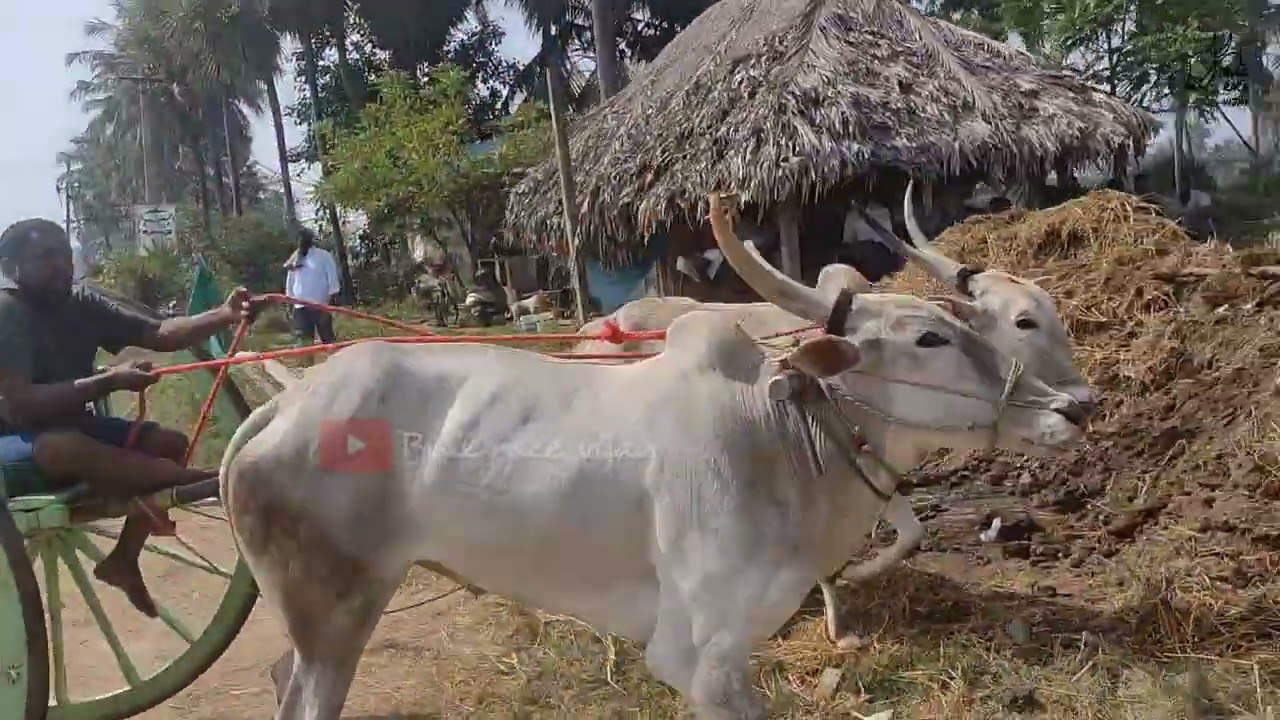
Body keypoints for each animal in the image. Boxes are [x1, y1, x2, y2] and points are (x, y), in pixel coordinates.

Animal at [222, 192, 1088, 720]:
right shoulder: (699, 656)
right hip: (333, 614)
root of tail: (288, 403)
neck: (778, 434)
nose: (1073, 408)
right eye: (930, 338)